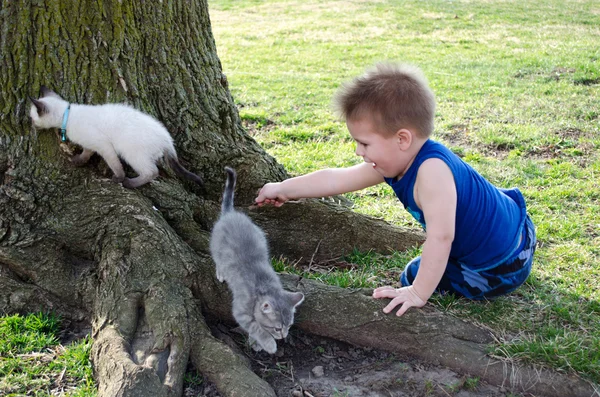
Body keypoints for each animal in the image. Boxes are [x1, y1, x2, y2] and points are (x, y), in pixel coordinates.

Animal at [29, 86, 204, 188]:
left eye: (32, 118)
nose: (31, 127)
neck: (68, 115)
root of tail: (168, 140)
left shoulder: (104, 146)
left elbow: (115, 165)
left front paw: (119, 178)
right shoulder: (91, 144)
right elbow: (86, 153)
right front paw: (78, 161)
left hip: (132, 153)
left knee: (152, 172)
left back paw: (129, 183)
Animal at [211, 167, 304, 352]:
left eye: (289, 326)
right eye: (277, 328)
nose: (283, 336)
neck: (265, 288)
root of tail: (230, 214)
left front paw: (256, 342)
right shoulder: (240, 310)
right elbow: (255, 326)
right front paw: (268, 343)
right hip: (216, 247)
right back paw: (221, 272)